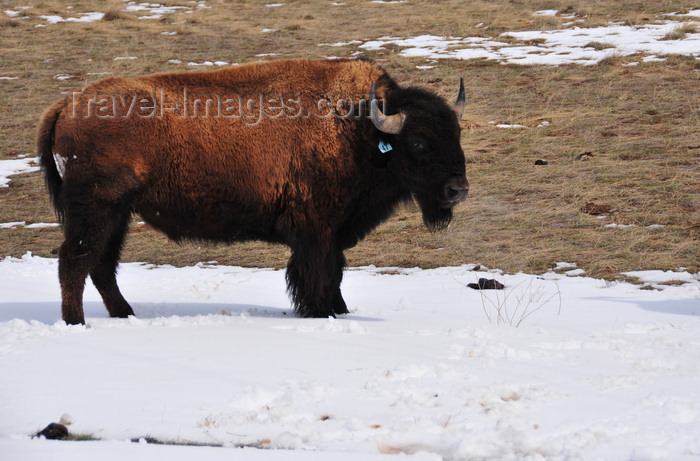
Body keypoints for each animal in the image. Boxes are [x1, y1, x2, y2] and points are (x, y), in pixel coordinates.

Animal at [37, 58, 464, 324]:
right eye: (419, 142)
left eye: (456, 134)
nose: (457, 189)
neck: (360, 128)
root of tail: (67, 104)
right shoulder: (316, 228)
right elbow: (321, 273)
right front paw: (323, 313)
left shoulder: (333, 230)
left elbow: (334, 272)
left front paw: (338, 311)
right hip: (97, 208)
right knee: (75, 261)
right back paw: (76, 323)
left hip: (118, 213)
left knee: (102, 265)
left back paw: (125, 314)